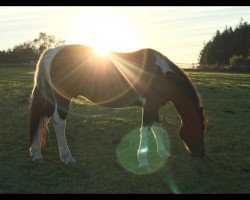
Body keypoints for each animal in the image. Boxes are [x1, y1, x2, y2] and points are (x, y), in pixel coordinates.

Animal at [28, 44, 207, 166]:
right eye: (200, 129)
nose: (201, 154)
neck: (161, 74)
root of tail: (51, 52)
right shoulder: (149, 106)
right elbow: (145, 130)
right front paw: (142, 159)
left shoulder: (153, 106)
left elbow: (156, 128)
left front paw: (163, 153)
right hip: (62, 98)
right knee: (58, 123)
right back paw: (67, 157)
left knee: (42, 119)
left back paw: (36, 154)